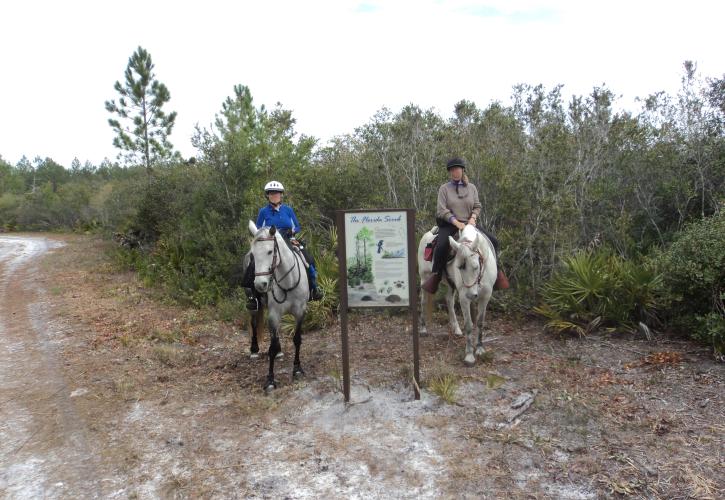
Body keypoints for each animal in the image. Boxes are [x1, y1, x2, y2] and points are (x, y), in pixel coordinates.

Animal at [249, 222, 308, 390]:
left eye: (270, 251)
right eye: (253, 255)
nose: (260, 285)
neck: (288, 281)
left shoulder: (300, 311)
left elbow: (297, 339)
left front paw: (297, 369)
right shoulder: (274, 314)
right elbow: (272, 347)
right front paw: (270, 380)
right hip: (254, 306)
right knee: (254, 323)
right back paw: (254, 350)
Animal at [418, 225, 498, 366]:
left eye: (476, 266)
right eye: (459, 267)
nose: (471, 295)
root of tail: (427, 234)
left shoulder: (485, 296)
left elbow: (480, 322)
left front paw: (480, 349)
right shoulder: (464, 298)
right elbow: (469, 325)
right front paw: (469, 355)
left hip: (451, 285)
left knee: (449, 300)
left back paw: (456, 329)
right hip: (424, 277)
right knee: (423, 301)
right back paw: (423, 329)